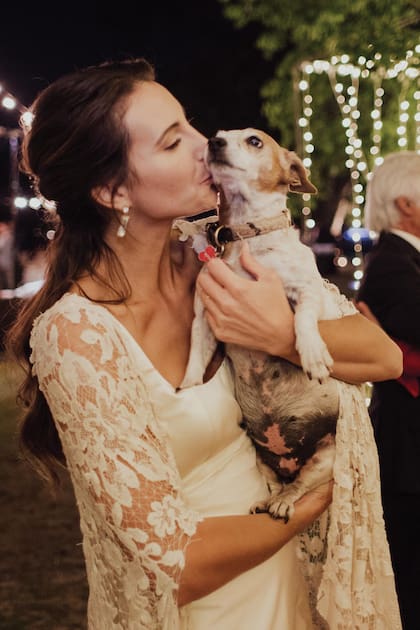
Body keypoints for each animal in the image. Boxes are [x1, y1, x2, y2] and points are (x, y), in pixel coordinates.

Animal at [180, 128, 358, 524]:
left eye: (254, 141)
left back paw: (284, 502)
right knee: (276, 482)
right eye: (217, 135)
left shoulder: (305, 291)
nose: (213, 142)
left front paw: (312, 354)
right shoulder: (204, 318)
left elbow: (303, 319)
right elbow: (195, 357)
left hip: (325, 458)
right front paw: (189, 385)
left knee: (298, 486)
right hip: (261, 457)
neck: (248, 238)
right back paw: (268, 500)